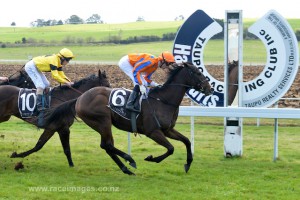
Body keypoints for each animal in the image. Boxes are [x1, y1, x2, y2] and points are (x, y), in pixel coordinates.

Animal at [44, 63, 213, 175]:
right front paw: (151, 158)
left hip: (101, 124)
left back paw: (126, 168)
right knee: (107, 145)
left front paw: (188, 164)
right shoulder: (153, 131)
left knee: (106, 146)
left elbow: (187, 141)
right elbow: (171, 148)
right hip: (103, 121)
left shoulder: (168, 129)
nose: (210, 88)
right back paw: (129, 160)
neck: (163, 100)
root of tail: (79, 98)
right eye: (197, 73)